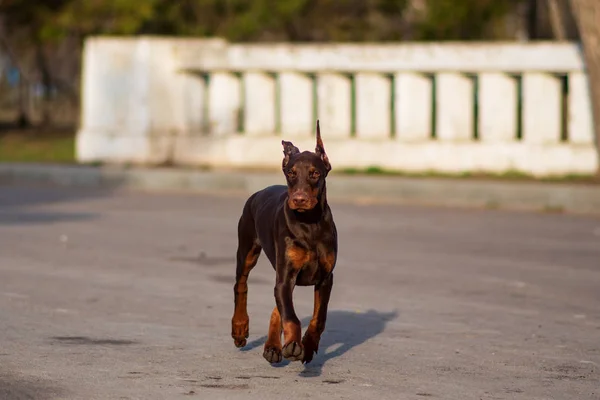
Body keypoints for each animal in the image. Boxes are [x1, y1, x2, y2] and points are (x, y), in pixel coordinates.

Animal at [231, 120, 338, 364]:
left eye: (315, 173)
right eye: (291, 173)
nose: (298, 199)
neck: (309, 223)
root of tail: (259, 192)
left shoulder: (326, 277)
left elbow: (319, 318)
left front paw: (308, 344)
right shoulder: (286, 275)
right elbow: (290, 316)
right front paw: (293, 345)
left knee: (276, 307)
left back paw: (272, 347)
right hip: (247, 249)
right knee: (241, 285)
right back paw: (240, 328)